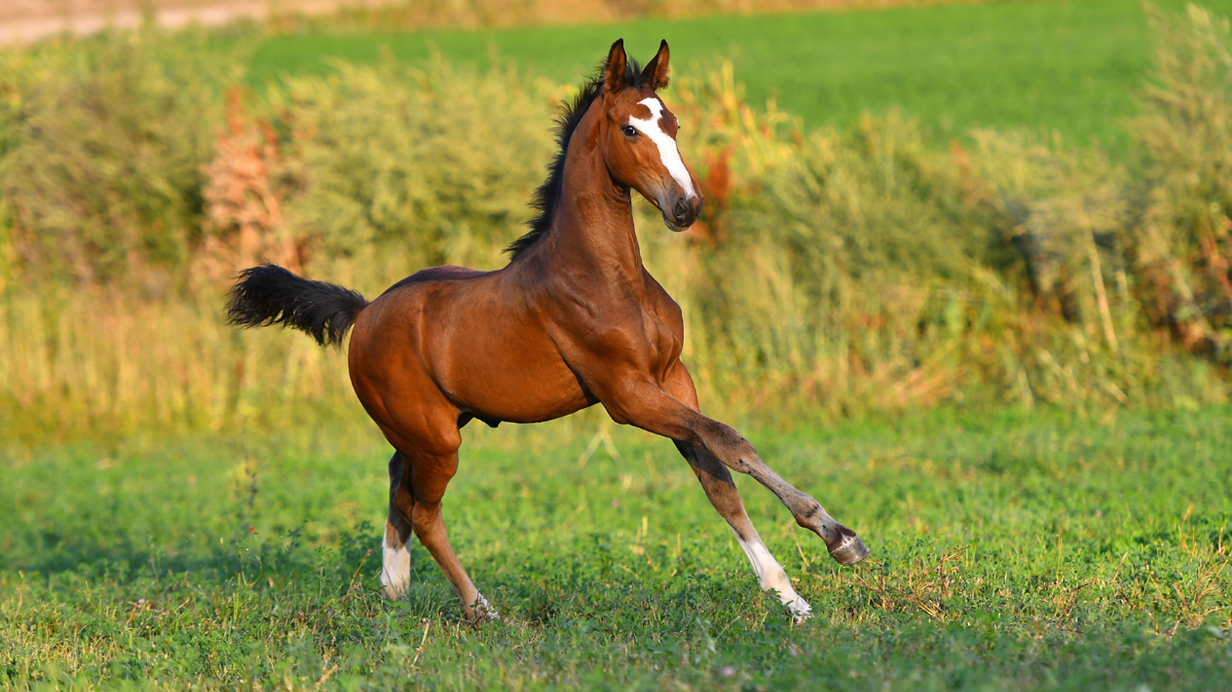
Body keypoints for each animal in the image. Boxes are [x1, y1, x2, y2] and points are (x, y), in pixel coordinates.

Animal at [226, 38, 868, 624]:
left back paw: (395, 590)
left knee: (397, 482)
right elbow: (731, 441)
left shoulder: (672, 379)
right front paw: (839, 539)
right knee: (425, 510)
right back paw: (480, 609)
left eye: (674, 123)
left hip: (434, 425)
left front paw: (794, 599)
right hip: (437, 438)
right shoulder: (627, 395)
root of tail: (364, 313)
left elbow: (720, 480)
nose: (687, 207)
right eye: (630, 130)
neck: (606, 277)